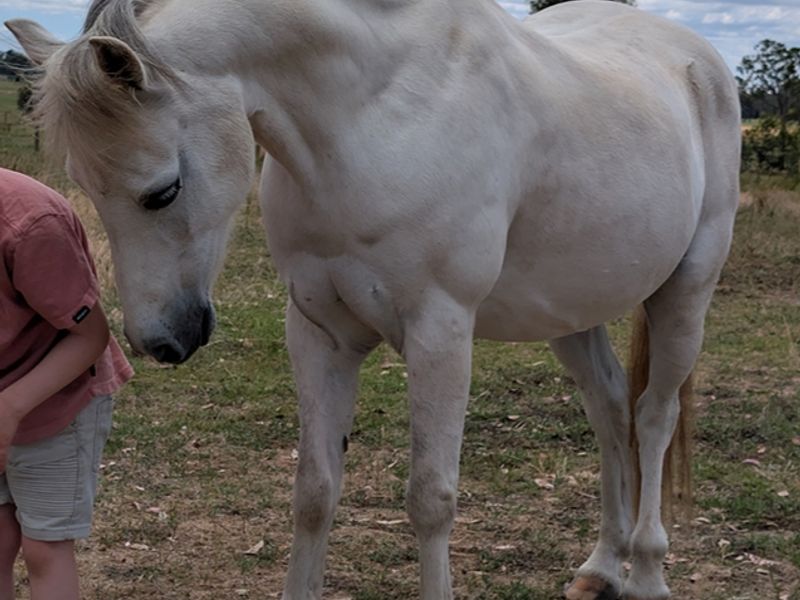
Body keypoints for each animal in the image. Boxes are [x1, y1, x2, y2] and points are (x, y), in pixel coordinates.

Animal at [7, 0, 740, 597]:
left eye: (163, 191)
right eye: (83, 186)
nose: (162, 341)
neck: (374, 116)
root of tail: (697, 57)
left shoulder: (441, 332)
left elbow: (431, 499)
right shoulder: (318, 333)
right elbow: (314, 491)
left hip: (686, 295)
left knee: (653, 416)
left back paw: (646, 572)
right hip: (569, 310)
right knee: (610, 408)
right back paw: (601, 566)